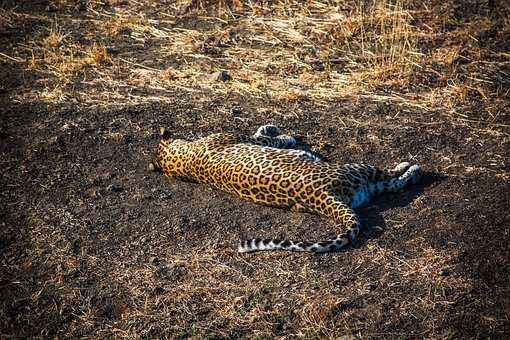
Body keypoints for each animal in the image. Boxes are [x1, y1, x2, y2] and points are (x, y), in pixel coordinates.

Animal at [148, 125, 422, 252]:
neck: (182, 162)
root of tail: (323, 196)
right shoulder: (243, 138)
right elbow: (266, 137)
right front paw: (281, 134)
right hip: (357, 168)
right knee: (393, 179)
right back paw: (412, 167)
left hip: (364, 189)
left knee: (391, 185)